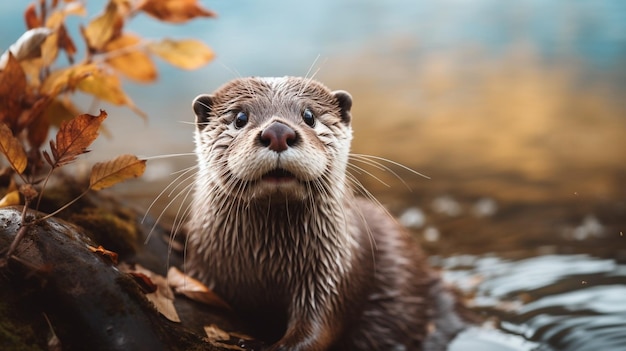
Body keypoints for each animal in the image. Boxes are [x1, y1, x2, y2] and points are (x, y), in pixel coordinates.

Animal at [185, 77, 464, 351]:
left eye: (309, 116)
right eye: (240, 118)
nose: (278, 132)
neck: (265, 264)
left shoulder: (335, 271)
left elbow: (321, 326)